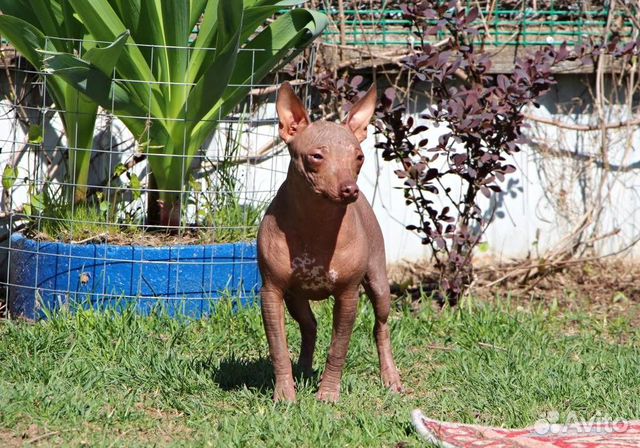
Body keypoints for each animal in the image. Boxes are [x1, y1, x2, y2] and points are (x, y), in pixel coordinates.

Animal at [254, 81, 400, 402]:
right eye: (317, 156)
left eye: (359, 157)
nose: (350, 189)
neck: (316, 223)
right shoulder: (271, 293)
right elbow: (278, 348)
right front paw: (285, 394)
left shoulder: (347, 296)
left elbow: (339, 349)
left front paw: (328, 394)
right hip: (295, 297)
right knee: (309, 326)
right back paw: (303, 370)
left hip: (379, 286)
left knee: (381, 328)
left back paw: (390, 377)